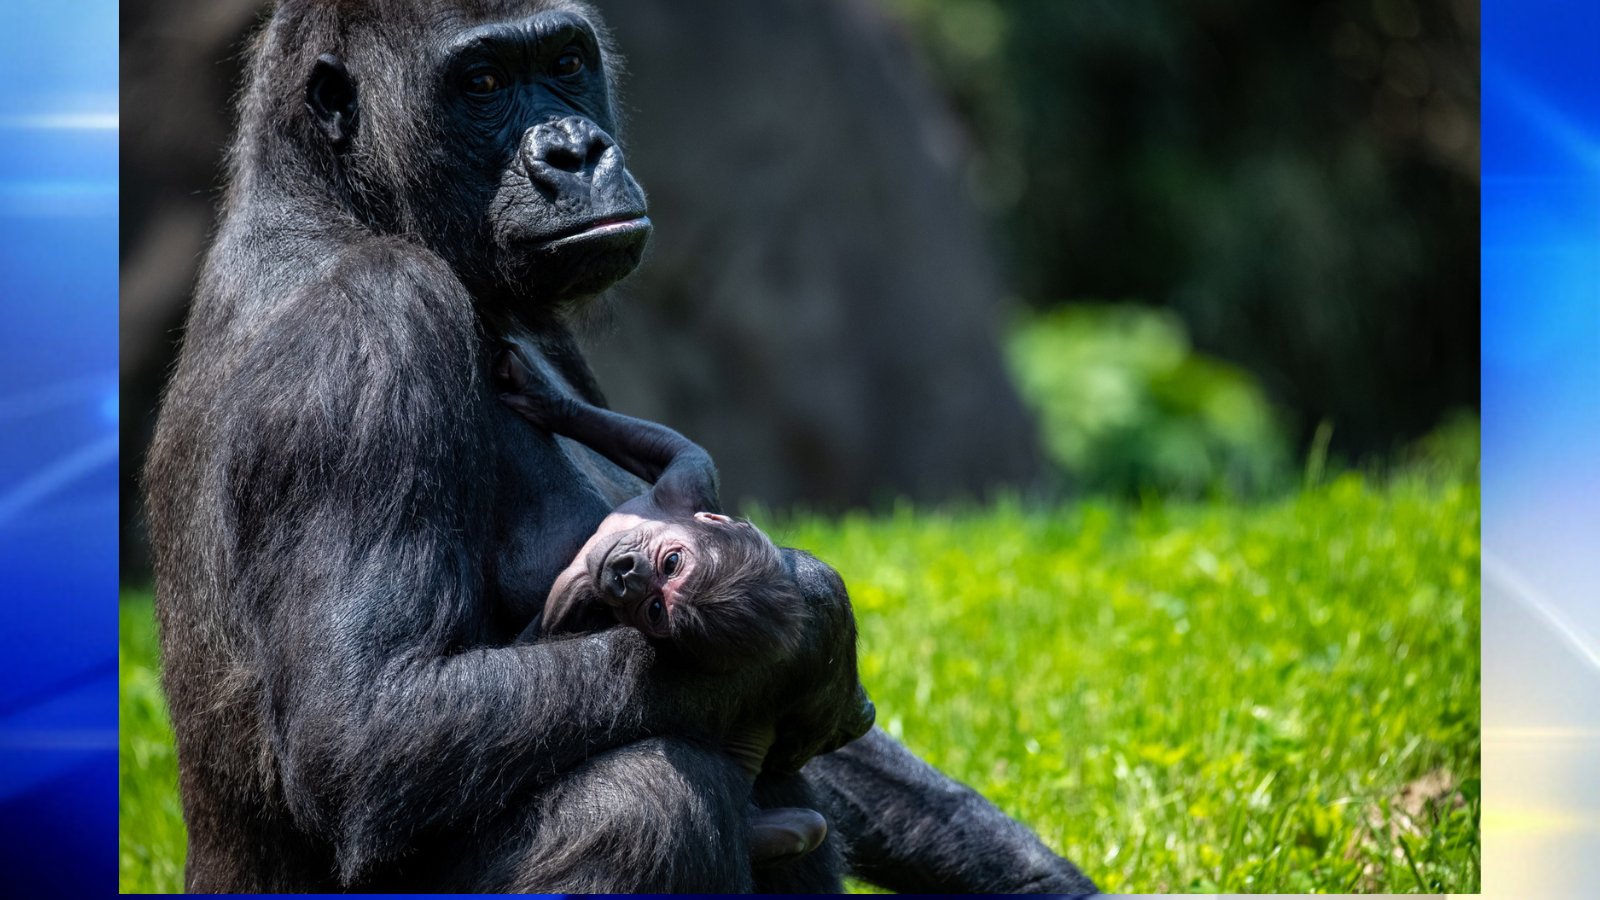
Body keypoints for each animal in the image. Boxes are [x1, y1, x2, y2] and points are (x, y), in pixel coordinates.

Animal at [492, 349, 825, 864]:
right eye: (671, 563)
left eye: (654, 610)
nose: (629, 578)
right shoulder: (686, 490)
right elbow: (666, 448)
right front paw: (547, 400)